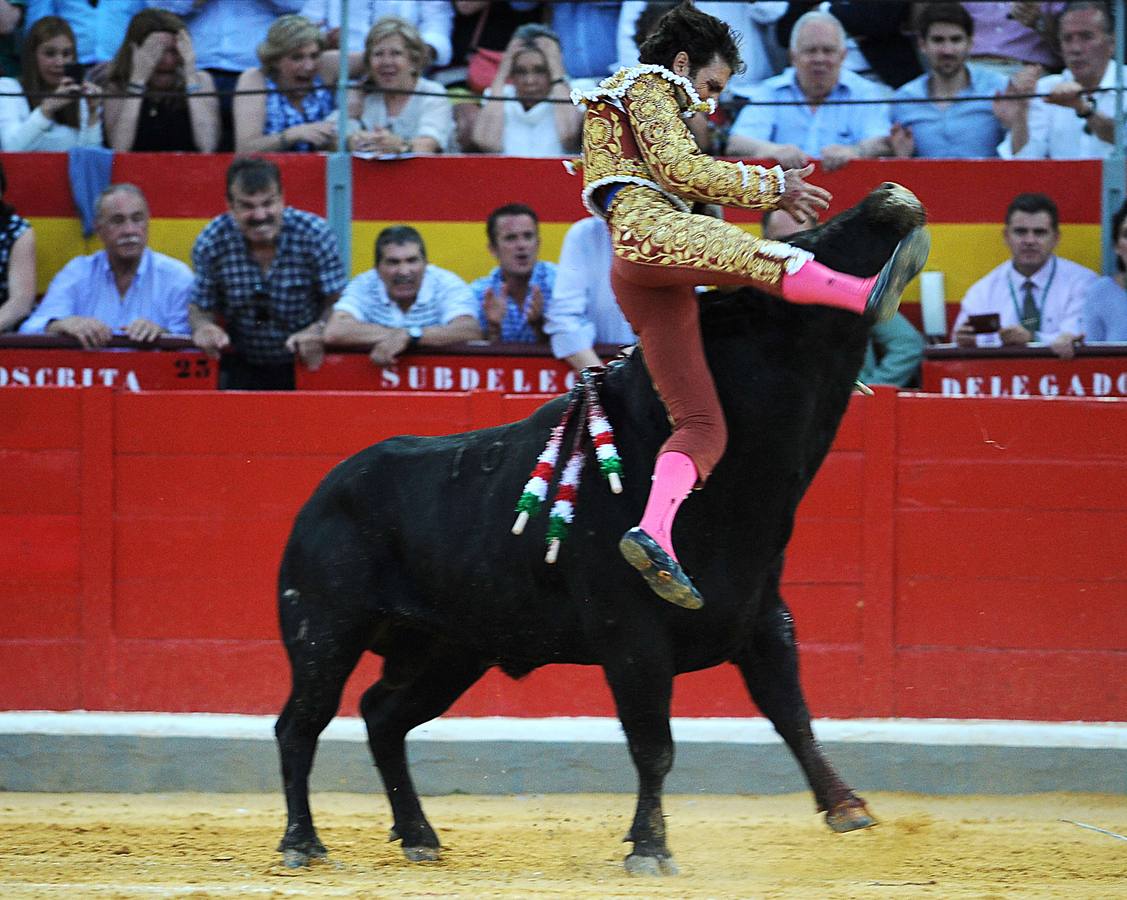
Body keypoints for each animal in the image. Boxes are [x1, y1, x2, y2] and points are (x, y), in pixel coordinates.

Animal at [277, 181, 928, 874]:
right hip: (326, 632)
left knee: (382, 715)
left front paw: (847, 807)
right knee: (302, 722)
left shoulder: (762, 618)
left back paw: (419, 835)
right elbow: (654, 742)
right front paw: (650, 847)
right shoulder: (631, 634)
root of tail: (321, 492)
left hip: (450, 647)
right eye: (804, 245)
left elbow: (793, 714)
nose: (889, 194)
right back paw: (303, 842)